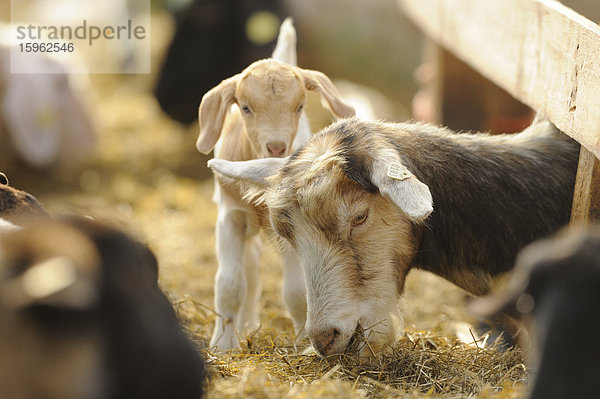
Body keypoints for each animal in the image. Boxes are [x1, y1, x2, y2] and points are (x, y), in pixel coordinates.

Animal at [199, 18, 354, 350]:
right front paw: (223, 345)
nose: (276, 147)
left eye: (299, 106)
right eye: (245, 107)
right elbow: (229, 283)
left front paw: (303, 342)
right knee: (250, 268)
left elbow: (297, 291)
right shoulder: (230, 217)